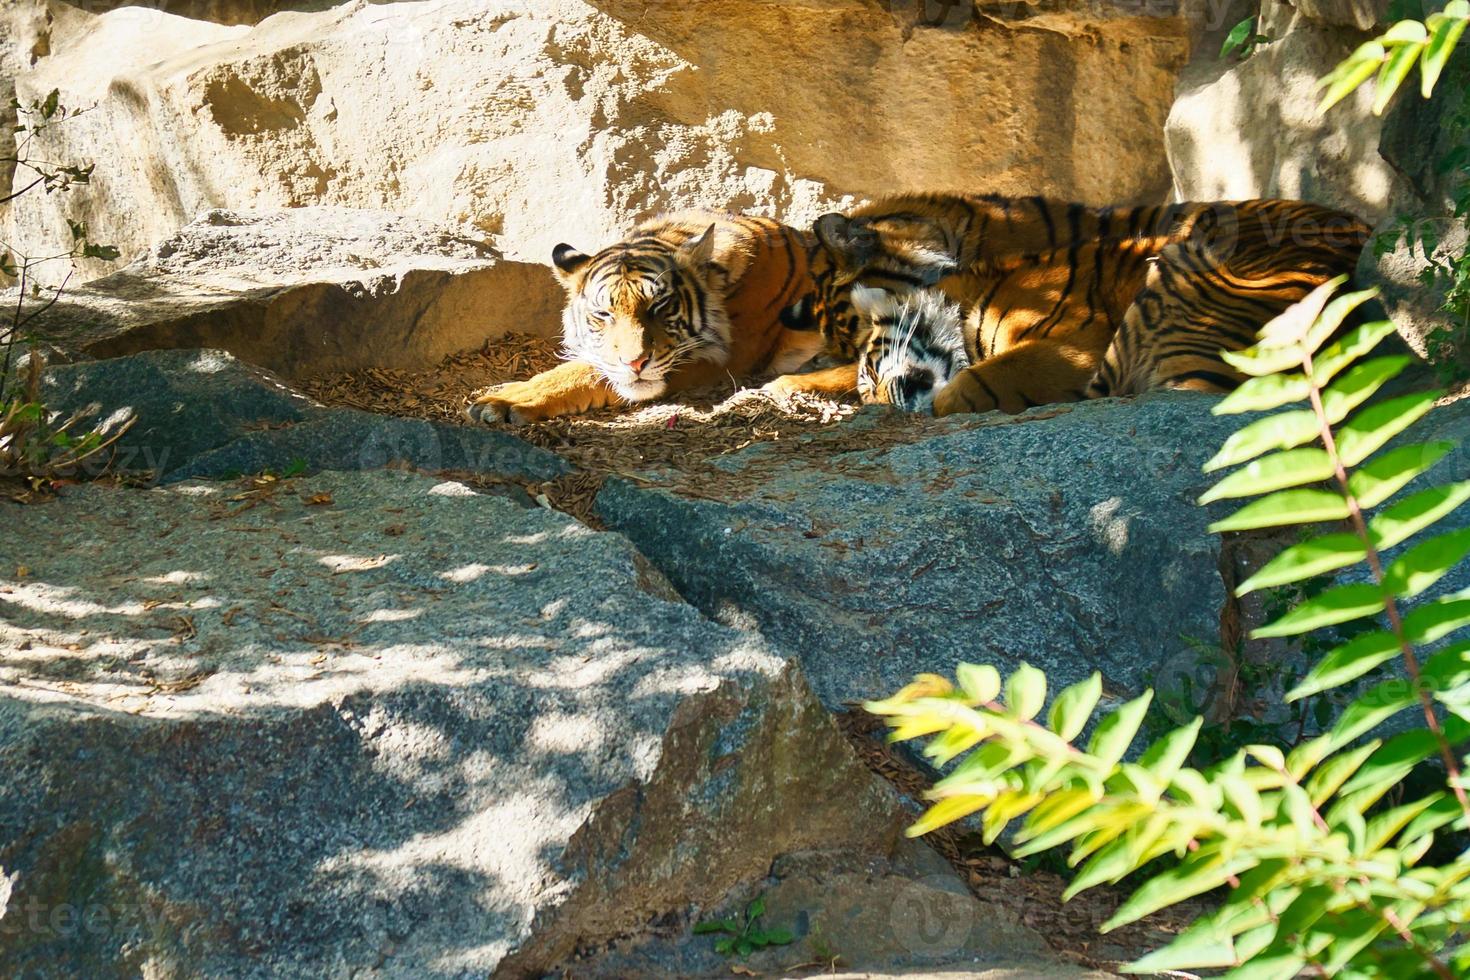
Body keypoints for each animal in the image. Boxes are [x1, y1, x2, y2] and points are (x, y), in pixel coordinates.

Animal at [464, 211, 823, 426]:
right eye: (603, 314)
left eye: (659, 306)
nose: (635, 363)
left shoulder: (720, 358)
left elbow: (587, 372)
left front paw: (501, 400)